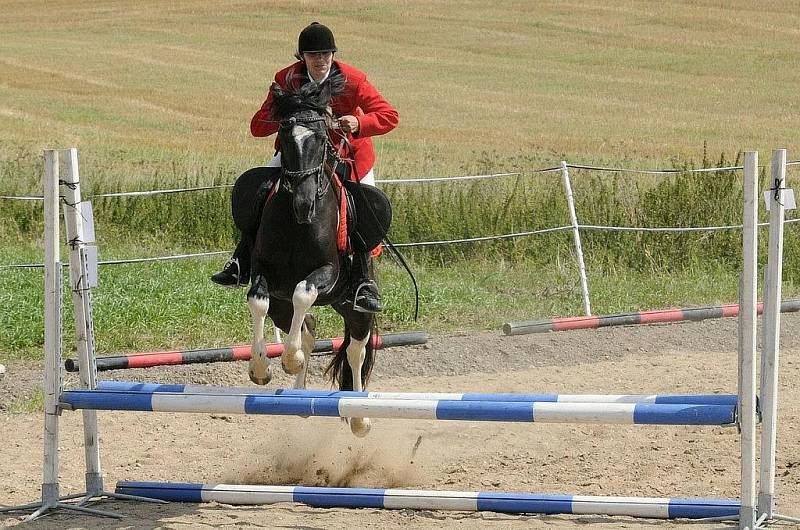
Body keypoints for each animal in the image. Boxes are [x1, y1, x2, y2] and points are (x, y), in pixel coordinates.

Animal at [239, 70, 376, 436]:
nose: (304, 204)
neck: (296, 222)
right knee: (307, 327)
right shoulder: (264, 273)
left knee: (356, 350)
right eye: (285, 137)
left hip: (355, 307)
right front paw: (262, 369)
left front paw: (289, 359)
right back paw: (299, 395)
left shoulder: (327, 271)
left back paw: (359, 416)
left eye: (321, 137)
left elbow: (304, 291)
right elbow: (258, 302)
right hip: (283, 305)